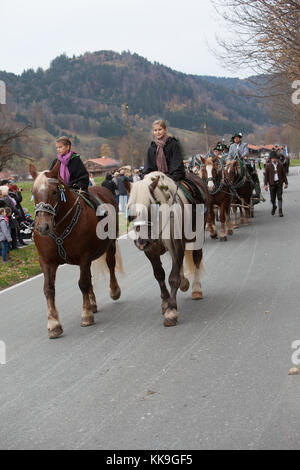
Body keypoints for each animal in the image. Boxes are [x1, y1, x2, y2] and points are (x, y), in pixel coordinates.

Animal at [28, 162, 122, 338]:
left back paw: (114, 291)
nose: (42, 227)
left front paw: (86, 315)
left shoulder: (84, 256)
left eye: (54, 191)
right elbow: (49, 289)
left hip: (110, 244)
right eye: (33, 192)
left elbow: (83, 283)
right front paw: (53, 324)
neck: (59, 229)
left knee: (110, 264)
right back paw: (92, 303)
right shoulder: (46, 261)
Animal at [125, 171, 207, 328]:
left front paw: (171, 310)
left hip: (198, 236)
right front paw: (165, 302)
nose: (141, 242)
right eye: (130, 212)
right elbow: (159, 275)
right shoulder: (150, 251)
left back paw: (196, 289)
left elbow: (173, 277)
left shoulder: (176, 245)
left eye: (150, 207)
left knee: (197, 258)